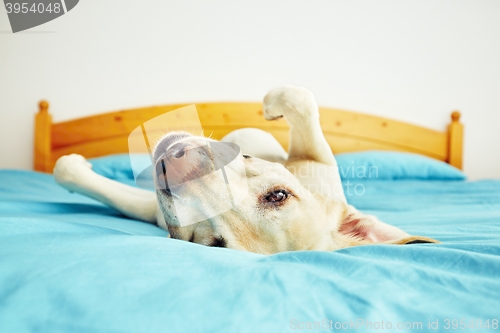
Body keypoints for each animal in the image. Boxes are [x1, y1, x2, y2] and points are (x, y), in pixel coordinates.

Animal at [53, 84, 438, 253]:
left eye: (211, 244)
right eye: (278, 195)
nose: (177, 166)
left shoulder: (160, 212)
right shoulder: (317, 161)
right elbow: (301, 99)